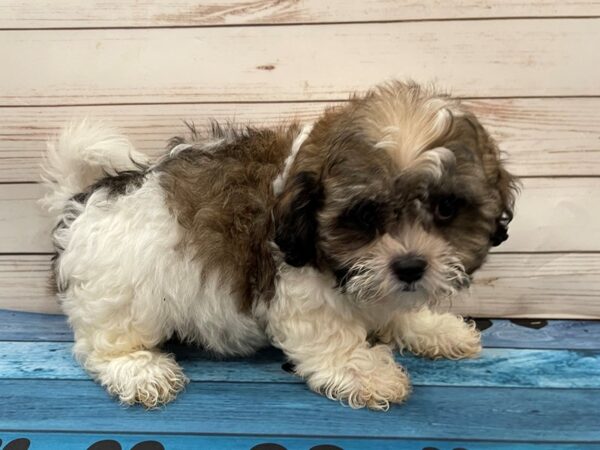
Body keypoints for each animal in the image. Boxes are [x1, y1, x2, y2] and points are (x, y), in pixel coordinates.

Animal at [41, 81, 516, 412]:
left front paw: (433, 328)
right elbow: (330, 337)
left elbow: (398, 310)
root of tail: (82, 201)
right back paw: (140, 371)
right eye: (365, 216)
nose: (410, 265)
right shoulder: (300, 291)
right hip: (122, 295)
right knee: (102, 344)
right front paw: (367, 373)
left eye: (446, 209)